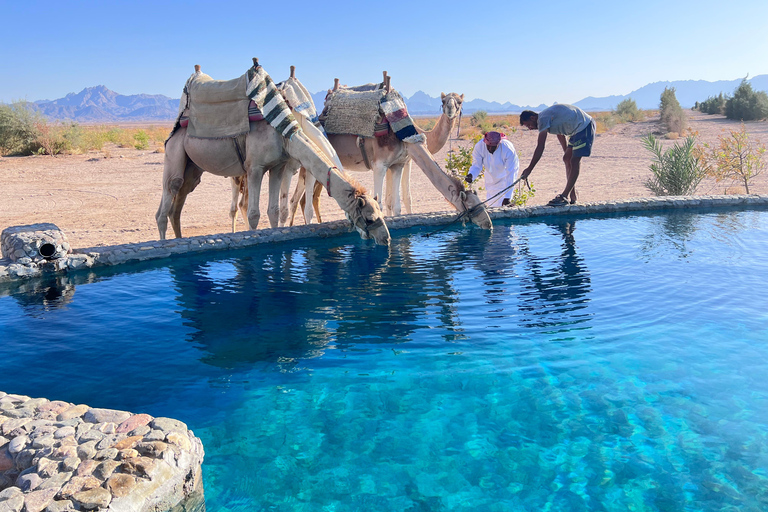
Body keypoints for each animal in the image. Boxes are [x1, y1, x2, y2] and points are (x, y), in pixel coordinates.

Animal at [156, 61, 390, 246]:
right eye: (369, 218)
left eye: (380, 213)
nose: (386, 238)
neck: (286, 134)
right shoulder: (255, 168)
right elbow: (254, 214)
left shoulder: (277, 167)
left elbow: (274, 211)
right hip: (174, 151)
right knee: (166, 202)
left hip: (193, 167)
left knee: (178, 204)